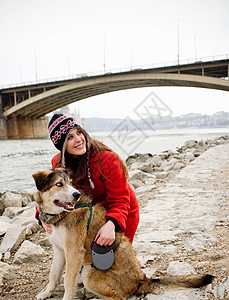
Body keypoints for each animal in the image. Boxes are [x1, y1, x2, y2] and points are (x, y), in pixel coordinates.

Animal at [32, 169, 215, 300]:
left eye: (70, 183)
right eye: (59, 184)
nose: (76, 194)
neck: (60, 215)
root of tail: (141, 280)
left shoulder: (73, 252)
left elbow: (68, 281)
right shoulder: (59, 250)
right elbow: (53, 275)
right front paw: (46, 293)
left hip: (89, 273)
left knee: (118, 297)